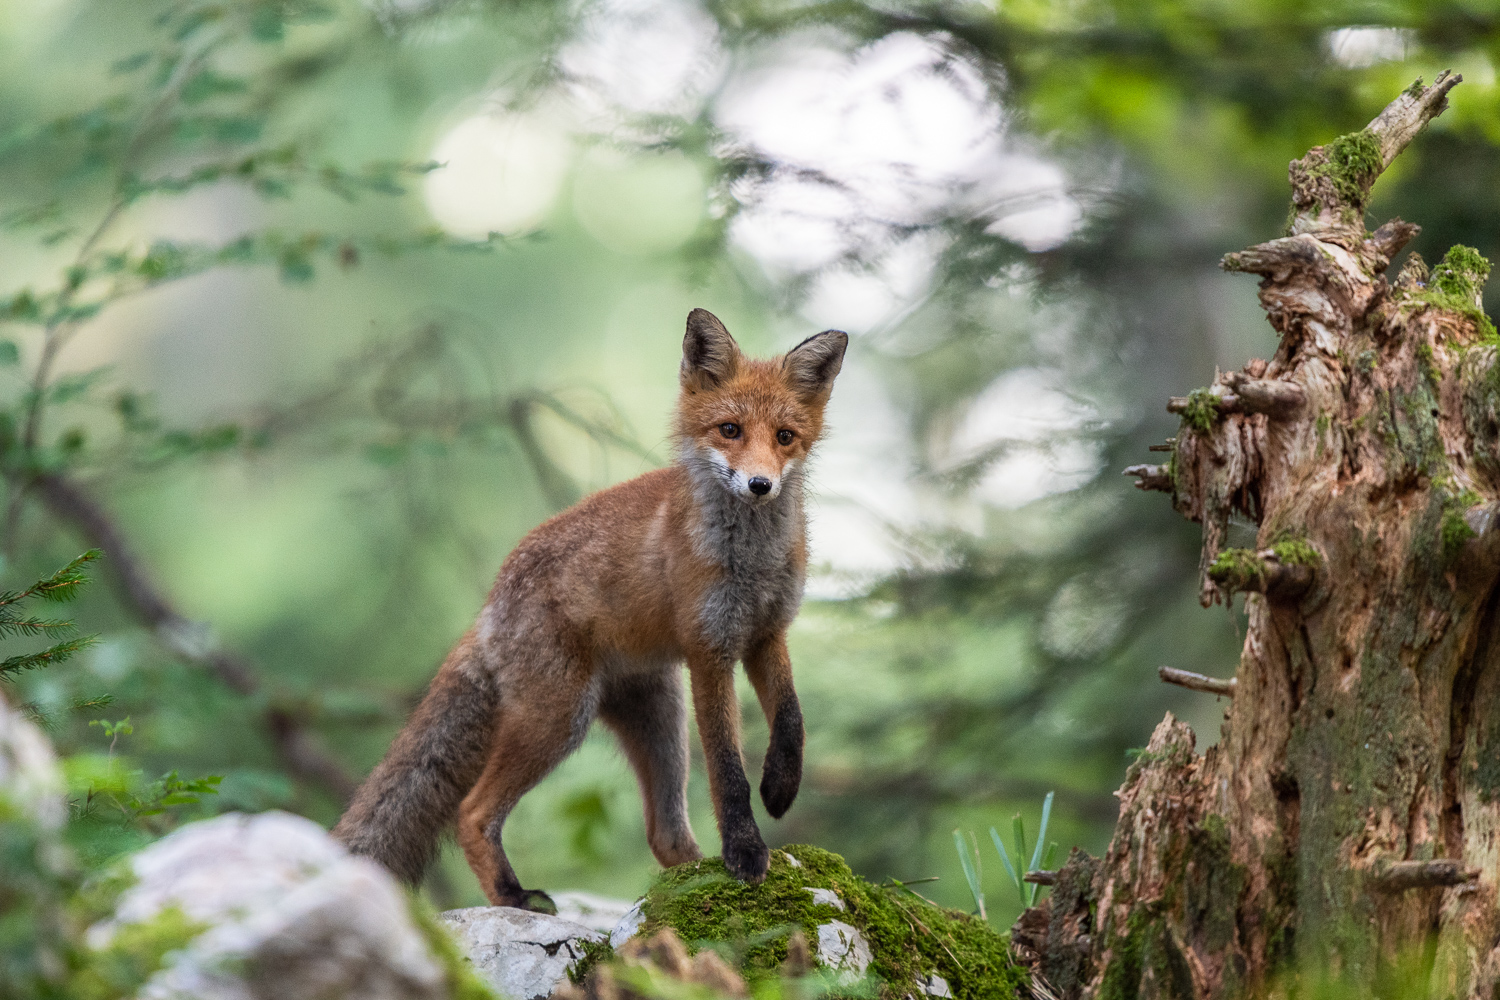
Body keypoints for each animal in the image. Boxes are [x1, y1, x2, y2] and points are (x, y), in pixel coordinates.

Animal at [334, 308, 846, 911]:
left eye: (785, 437)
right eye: (730, 431)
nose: (760, 484)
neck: (751, 561)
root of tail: (488, 605)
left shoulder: (767, 632)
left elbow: (792, 721)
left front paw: (781, 787)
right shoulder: (710, 649)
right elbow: (728, 772)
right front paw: (745, 852)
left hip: (661, 723)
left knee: (664, 835)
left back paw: (686, 881)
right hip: (561, 717)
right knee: (472, 812)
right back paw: (513, 896)